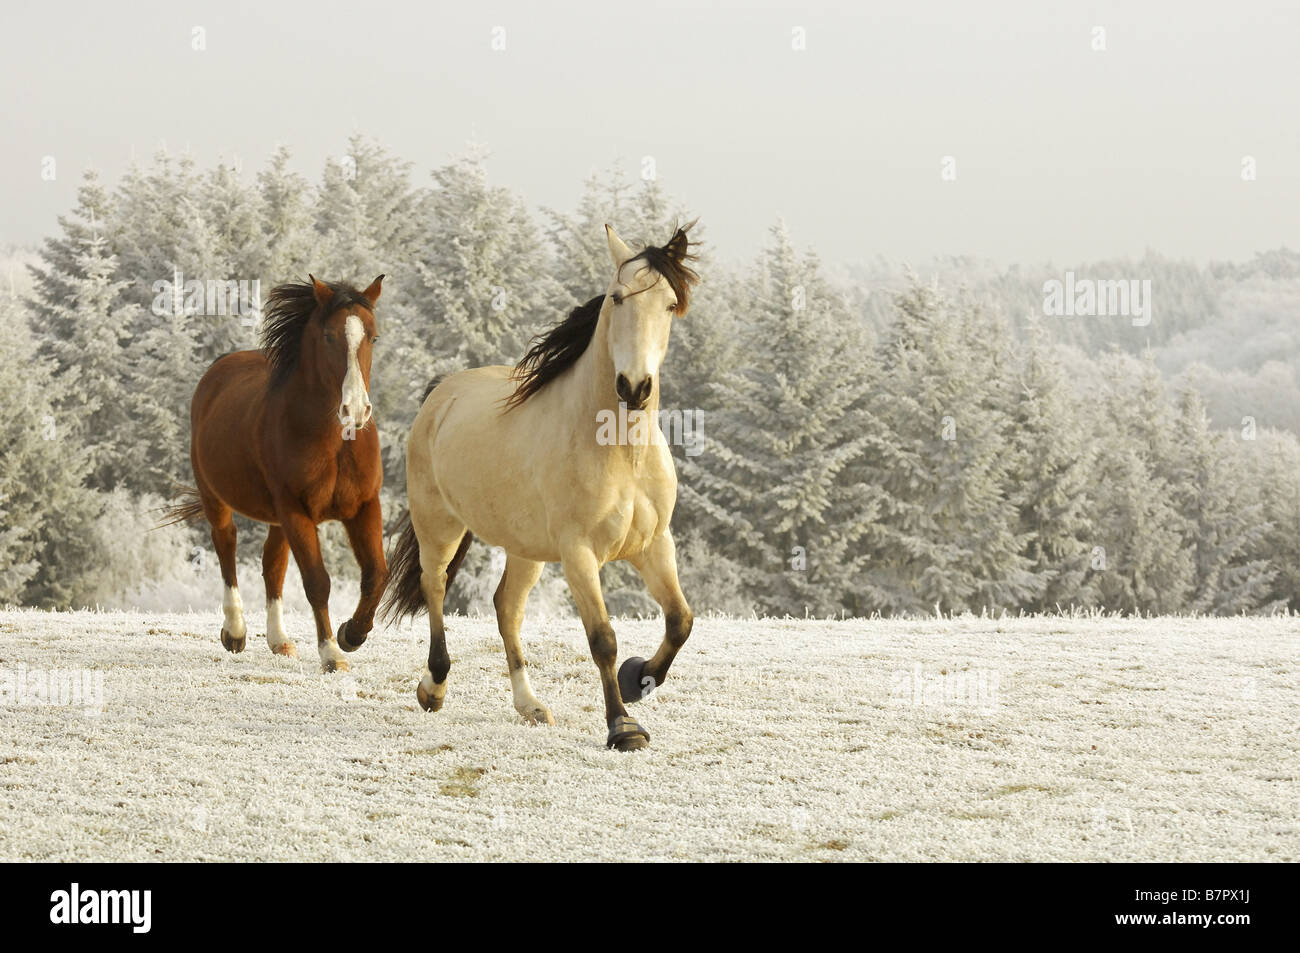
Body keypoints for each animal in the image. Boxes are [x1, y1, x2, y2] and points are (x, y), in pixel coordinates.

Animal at [165, 275, 384, 670]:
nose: (356, 410)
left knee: (273, 564)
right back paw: (235, 632)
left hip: (278, 518)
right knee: (226, 545)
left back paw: (279, 640)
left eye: (373, 337)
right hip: (216, 496)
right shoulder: (295, 510)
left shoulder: (363, 506)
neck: (334, 441)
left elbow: (376, 574)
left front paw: (352, 634)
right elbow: (317, 581)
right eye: (329, 336)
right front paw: (332, 653)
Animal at [379, 223, 696, 748]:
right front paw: (623, 727)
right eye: (618, 298)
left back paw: (529, 705)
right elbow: (603, 639)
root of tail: (442, 392)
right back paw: (434, 687)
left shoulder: (653, 545)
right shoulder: (579, 553)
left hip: (524, 548)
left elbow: (679, 622)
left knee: (506, 608)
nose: (634, 387)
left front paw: (638, 680)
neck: (619, 451)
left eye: (671, 304)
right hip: (439, 524)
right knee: (434, 585)